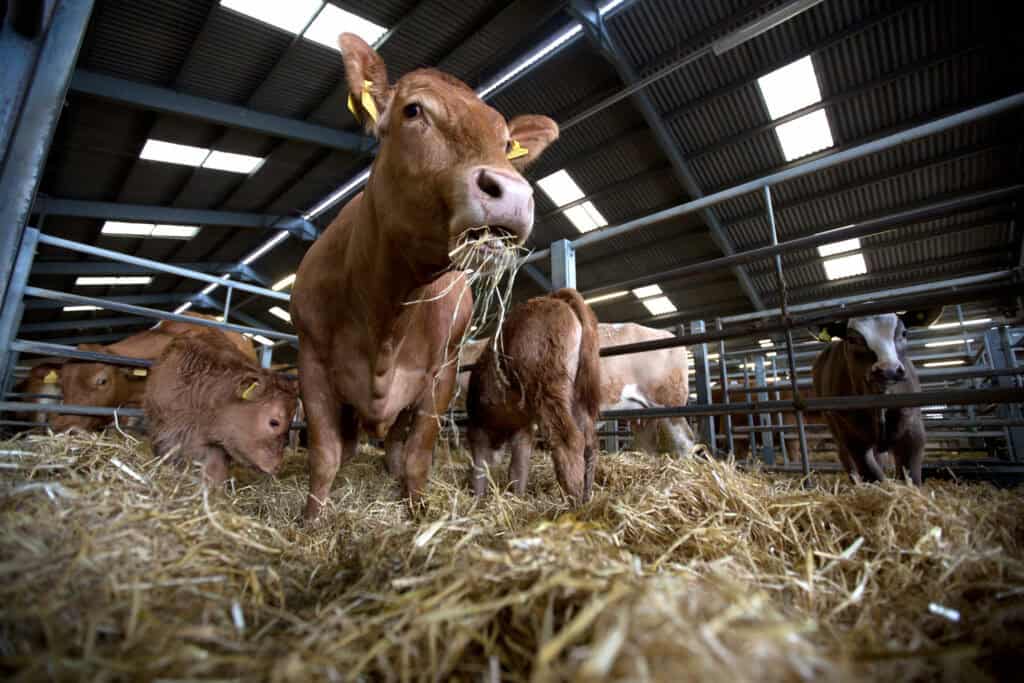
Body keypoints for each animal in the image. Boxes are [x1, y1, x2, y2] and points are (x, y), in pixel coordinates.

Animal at [290, 33, 558, 521]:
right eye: (413, 110)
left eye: (506, 140)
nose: (513, 194)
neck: (386, 309)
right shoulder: (311, 361)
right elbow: (325, 454)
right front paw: (310, 520)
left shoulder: (441, 374)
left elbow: (417, 455)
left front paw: (416, 511)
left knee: (396, 443)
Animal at [466, 289, 601, 502]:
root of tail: (555, 298)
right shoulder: (524, 428)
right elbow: (518, 469)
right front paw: (517, 499)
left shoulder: (479, 428)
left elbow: (480, 470)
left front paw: (477, 500)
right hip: (577, 396)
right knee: (590, 443)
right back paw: (587, 498)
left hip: (547, 387)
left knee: (569, 441)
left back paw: (574, 501)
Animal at [811, 308, 940, 485]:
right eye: (852, 339)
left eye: (904, 333)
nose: (888, 370)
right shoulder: (852, 437)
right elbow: (872, 474)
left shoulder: (913, 431)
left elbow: (911, 476)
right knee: (845, 458)